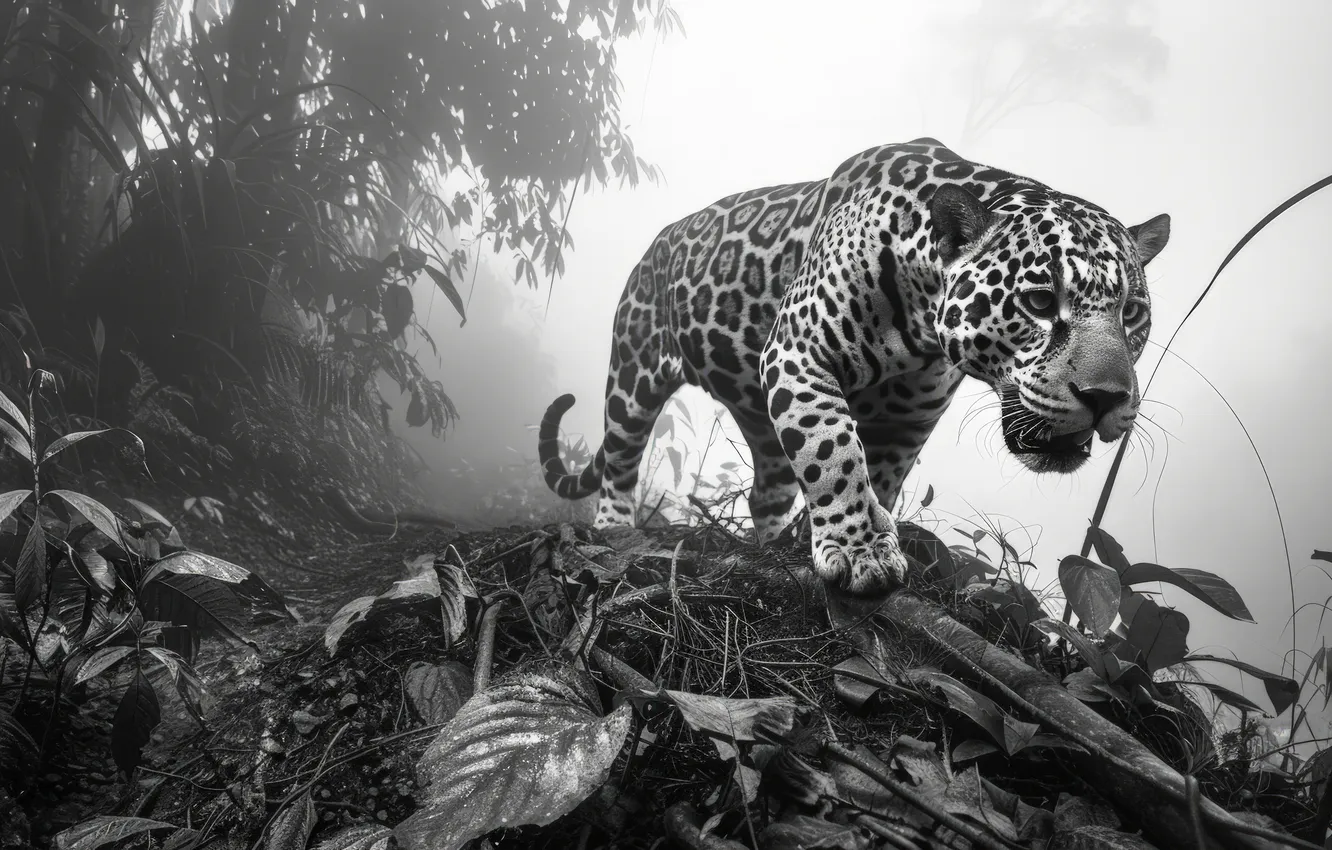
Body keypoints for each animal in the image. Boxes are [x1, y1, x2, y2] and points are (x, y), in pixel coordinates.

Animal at [537, 138, 1170, 594]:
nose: (1107, 398)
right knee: (621, 457)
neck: (922, 317)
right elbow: (832, 451)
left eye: (1133, 313)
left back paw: (771, 545)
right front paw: (859, 552)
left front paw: (863, 532)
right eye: (1039, 302)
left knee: (766, 487)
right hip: (633, 371)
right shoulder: (798, 351)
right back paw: (615, 530)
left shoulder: (910, 418)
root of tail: (657, 243)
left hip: (757, 422)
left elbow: (879, 476)